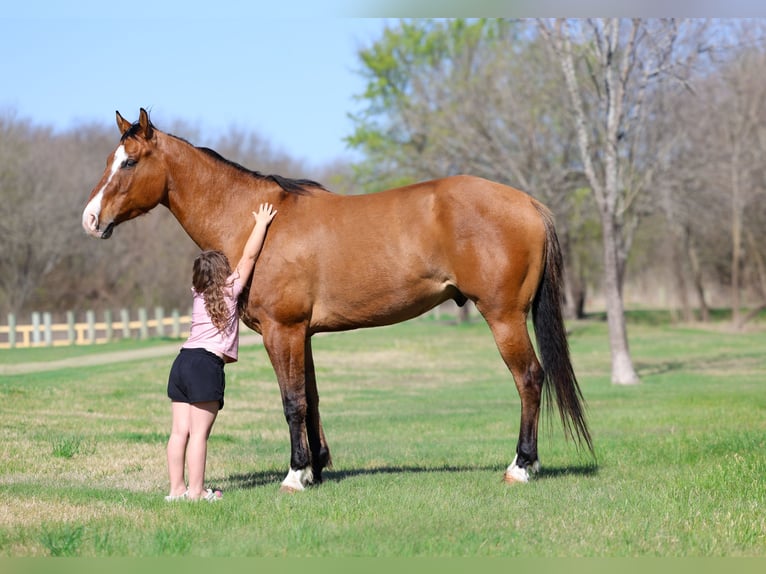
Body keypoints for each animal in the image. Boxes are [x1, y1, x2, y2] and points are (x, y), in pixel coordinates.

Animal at [82, 109, 593, 492]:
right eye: (109, 158)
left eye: (129, 162)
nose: (90, 219)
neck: (255, 220)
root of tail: (529, 203)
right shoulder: (302, 334)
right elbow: (311, 397)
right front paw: (316, 467)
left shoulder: (281, 330)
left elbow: (291, 401)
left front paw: (295, 475)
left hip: (504, 317)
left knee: (529, 378)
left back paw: (521, 466)